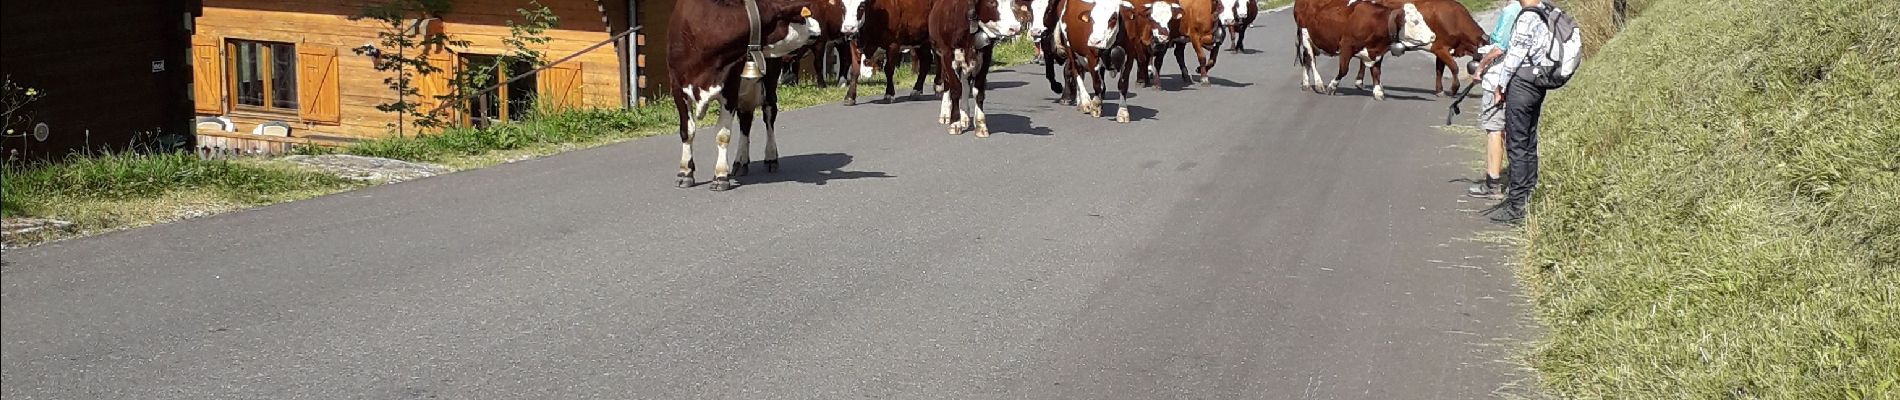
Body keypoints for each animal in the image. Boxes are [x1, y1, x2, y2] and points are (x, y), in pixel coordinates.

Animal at [668, 0, 817, 190]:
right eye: (801, 17)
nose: (817, 27)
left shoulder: (730, 88)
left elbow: (722, 134)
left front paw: (720, 176)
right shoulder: (677, 87)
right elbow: (687, 131)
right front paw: (685, 172)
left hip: (770, 80)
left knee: (769, 114)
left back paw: (770, 157)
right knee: (746, 120)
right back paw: (741, 161)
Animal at [927, 0, 1018, 136]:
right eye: (991, 2)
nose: (1015, 28)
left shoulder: (986, 56)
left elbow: (978, 91)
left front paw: (981, 125)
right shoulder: (947, 55)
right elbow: (955, 89)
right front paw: (955, 123)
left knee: (965, 85)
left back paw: (964, 116)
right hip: (938, 54)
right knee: (947, 85)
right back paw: (945, 115)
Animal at [1292, 0, 1436, 99]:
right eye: (1415, 21)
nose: (1433, 36)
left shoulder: (1377, 52)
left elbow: (1377, 72)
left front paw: (1378, 91)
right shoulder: (1346, 46)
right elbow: (1343, 70)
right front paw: (1332, 86)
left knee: (1306, 59)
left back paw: (1306, 84)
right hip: (1305, 35)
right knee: (1311, 60)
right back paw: (1319, 84)